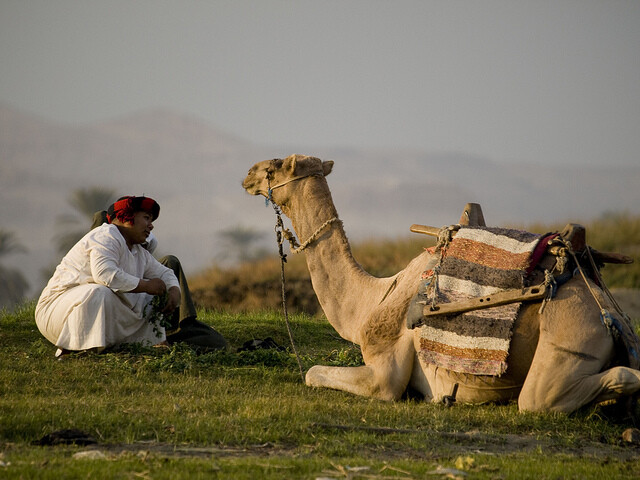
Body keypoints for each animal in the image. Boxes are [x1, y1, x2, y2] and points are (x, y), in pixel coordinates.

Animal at [241, 155, 640, 412]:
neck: (372, 300)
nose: (247, 175)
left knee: (548, 397)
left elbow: (312, 373)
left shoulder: (384, 372)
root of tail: (611, 316)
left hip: (568, 336)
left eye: (274, 166)